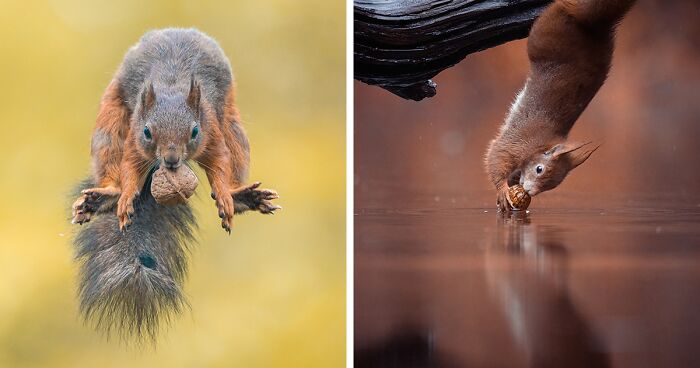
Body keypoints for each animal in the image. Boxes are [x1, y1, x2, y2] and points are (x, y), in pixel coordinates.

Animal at [69, 28, 278, 342]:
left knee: (234, 150)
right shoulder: (134, 137)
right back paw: (106, 197)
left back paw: (241, 196)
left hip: (231, 124)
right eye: (147, 131)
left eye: (194, 131)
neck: (172, 87)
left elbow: (219, 162)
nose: (170, 159)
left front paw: (225, 198)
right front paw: (126, 198)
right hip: (111, 121)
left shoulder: (211, 131)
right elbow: (130, 167)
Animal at [484, 0, 636, 211]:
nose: (530, 191)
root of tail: (596, 26)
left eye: (553, 185)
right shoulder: (516, 144)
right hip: (545, 32)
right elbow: (496, 158)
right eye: (539, 169)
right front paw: (502, 190)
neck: (540, 144)